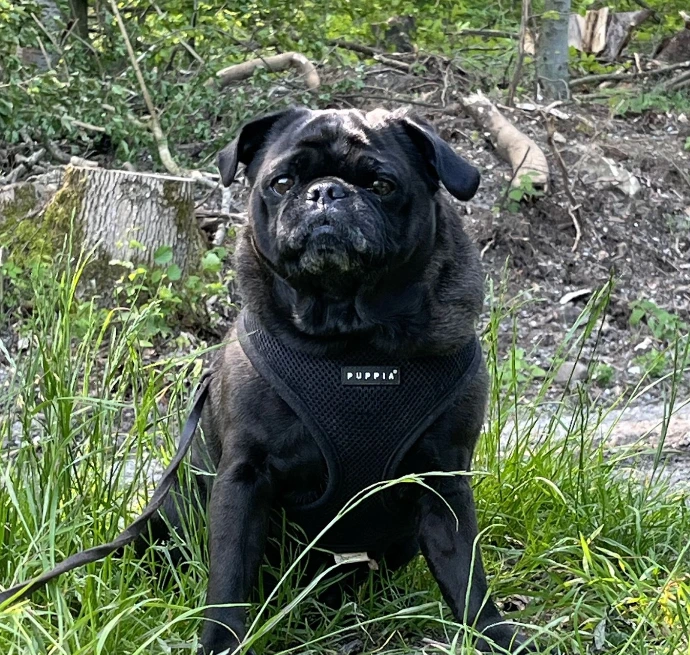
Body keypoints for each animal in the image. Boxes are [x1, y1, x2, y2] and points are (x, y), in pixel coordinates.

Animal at [159, 106, 532, 654]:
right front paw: (220, 643)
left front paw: (493, 635)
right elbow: (228, 578)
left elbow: (467, 572)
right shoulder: (243, 478)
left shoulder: (443, 479)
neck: (352, 339)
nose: (326, 192)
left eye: (381, 184)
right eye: (282, 182)